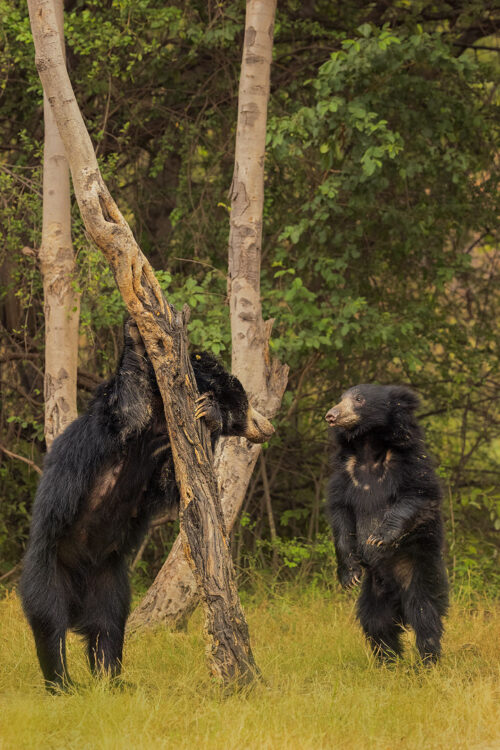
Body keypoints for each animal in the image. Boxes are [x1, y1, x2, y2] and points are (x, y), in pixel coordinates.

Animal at [20, 318, 274, 692]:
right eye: (246, 404)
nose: (268, 428)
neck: (161, 420)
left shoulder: (163, 454)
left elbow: (176, 482)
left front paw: (209, 412)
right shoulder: (127, 415)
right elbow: (132, 396)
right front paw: (135, 330)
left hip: (109, 580)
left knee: (109, 626)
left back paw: (112, 679)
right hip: (46, 568)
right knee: (49, 623)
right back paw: (63, 684)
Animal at [326, 388, 448, 664]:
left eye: (359, 399)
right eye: (340, 398)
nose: (331, 415)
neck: (369, 449)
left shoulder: (410, 463)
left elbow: (417, 496)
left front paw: (378, 537)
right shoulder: (344, 474)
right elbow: (340, 516)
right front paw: (349, 575)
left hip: (418, 568)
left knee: (424, 613)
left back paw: (428, 662)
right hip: (374, 588)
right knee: (377, 622)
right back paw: (389, 662)